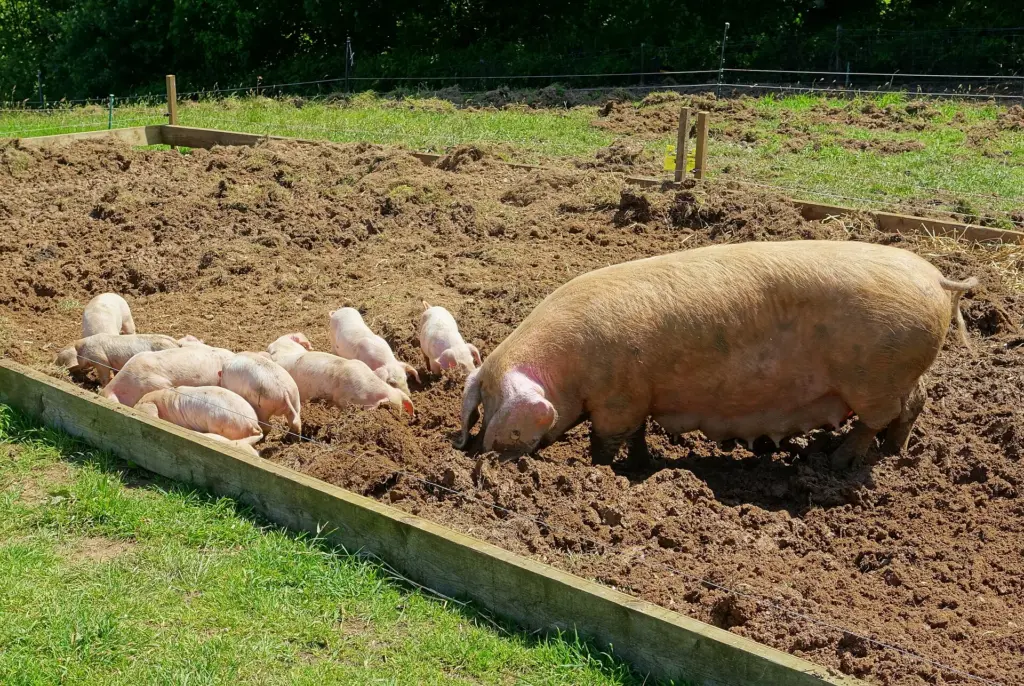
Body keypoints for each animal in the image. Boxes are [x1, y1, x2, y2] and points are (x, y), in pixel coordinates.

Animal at [457, 240, 977, 470]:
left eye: (499, 411)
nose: (480, 454)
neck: (569, 368)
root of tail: (937, 280)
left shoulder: (616, 398)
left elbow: (606, 440)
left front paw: (600, 469)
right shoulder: (643, 394)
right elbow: (639, 434)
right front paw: (642, 464)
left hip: (875, 378)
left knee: (879, 418)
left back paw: (837, 462)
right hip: (898, 374)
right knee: (915, 405)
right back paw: (891, 454)